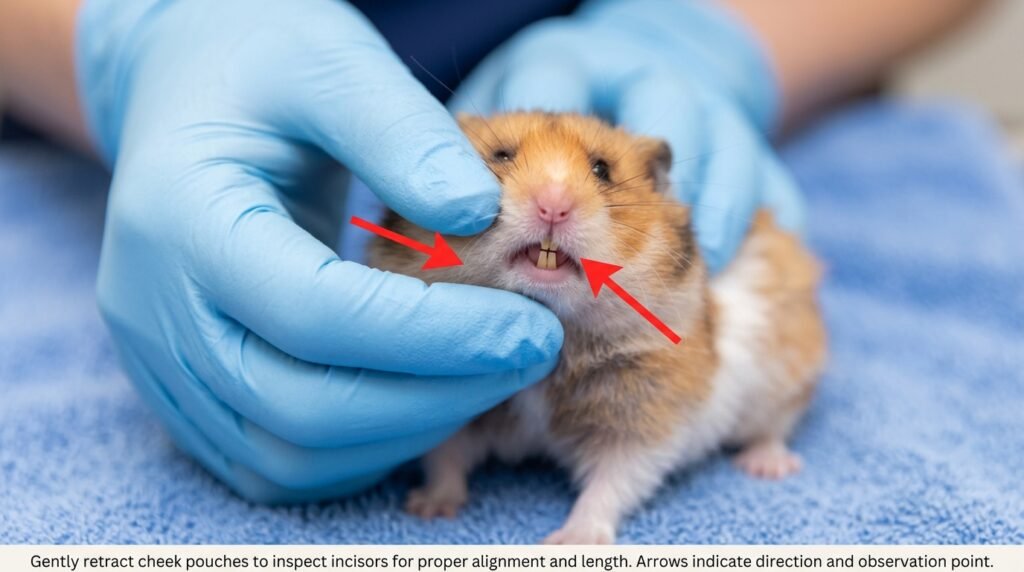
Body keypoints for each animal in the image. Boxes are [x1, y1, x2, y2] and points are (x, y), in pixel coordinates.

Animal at [367, 112, 826, 544]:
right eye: (501, 156)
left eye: (602, 169)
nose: (553, 206)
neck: (566, 331)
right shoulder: (454, 414)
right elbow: (445, 458)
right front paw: (428, 510)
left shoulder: (644, 419)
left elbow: (612, 482)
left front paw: (569, 541)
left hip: (784, 376)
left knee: (775, 426)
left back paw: (768, 466)